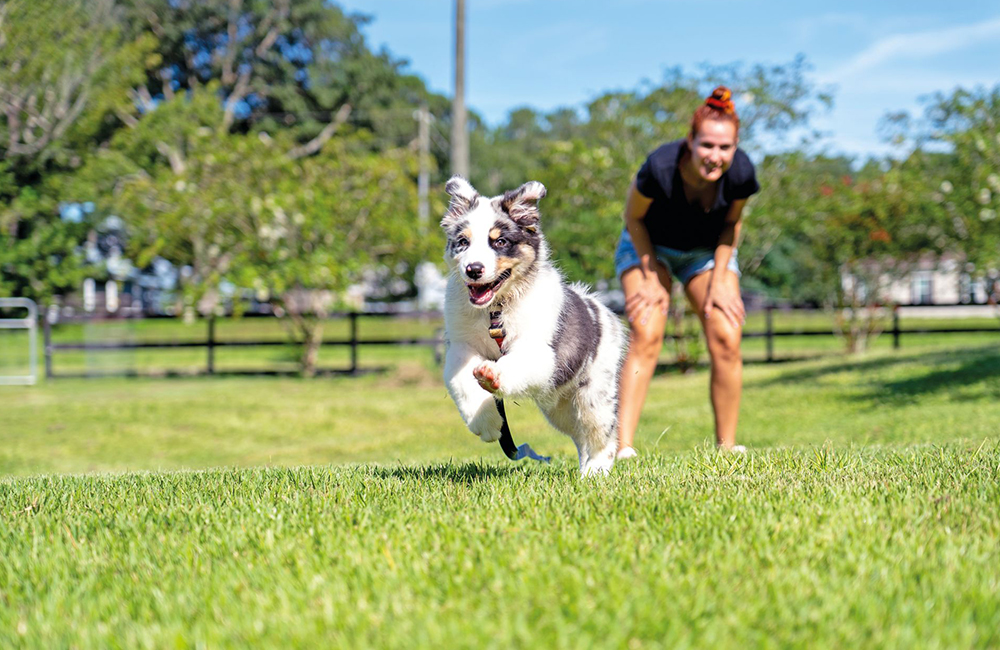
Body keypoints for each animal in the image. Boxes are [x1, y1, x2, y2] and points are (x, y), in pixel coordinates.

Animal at [440, 175, 624, 474]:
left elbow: (515, 363)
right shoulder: (460, 345)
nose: (473, 269)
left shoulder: (540, 351)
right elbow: (462, 381)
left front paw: (493, 375)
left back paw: (595, 472)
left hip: (594, 392)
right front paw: (487, 424)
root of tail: (600, 309)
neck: (496, 310)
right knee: (579, 435)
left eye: (500, 242)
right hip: (559, 406)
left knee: (601, 433)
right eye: (463, 242)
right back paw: (584, 469)